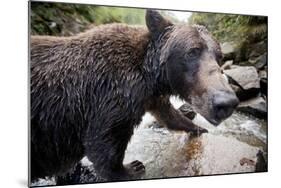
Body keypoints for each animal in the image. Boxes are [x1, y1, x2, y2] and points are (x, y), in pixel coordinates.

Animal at [30, 9, 236, 182]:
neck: (148, 74)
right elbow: (104, 141)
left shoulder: (151, 97)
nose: (226, 102)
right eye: (192, 51)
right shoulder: (109, 94)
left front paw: (198, 128)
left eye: (219, 56)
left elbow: (169, 115)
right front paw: (132, 167)